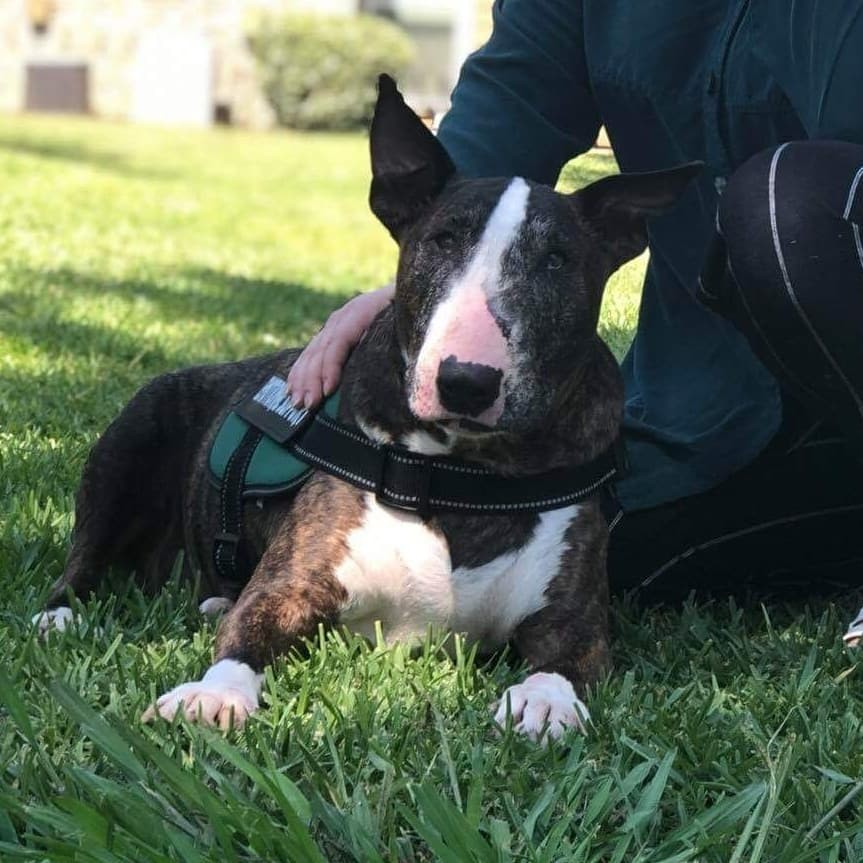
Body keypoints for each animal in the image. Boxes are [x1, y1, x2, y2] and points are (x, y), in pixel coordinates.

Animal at [33, 77, 704, 744]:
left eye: (557, 260)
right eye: (442, 240)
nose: (466, 382)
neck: (463, 472)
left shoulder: (575, 615)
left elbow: (568, 659)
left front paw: (543, 704)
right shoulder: (292, 583)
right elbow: (247, 630)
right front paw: (210, 696)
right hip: (127, 446)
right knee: (84, 559)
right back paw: (60, 615)